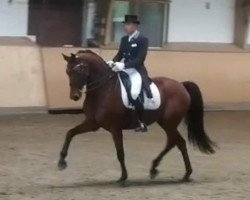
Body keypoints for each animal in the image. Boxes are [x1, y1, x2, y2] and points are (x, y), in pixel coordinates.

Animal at [57, 49, 215, 184]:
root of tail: (181, 85)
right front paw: (61, 162)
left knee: (179, 142)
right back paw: (155, 168)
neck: (103, 90)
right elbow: (70, 133)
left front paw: (123, 177)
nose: (75, 96)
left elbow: (120, 152)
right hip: (165, 122)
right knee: (173, 142)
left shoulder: (115, 127)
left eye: (79, 70)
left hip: (169, 123)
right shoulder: (92, 123)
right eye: (67, 71)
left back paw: (186, 173)